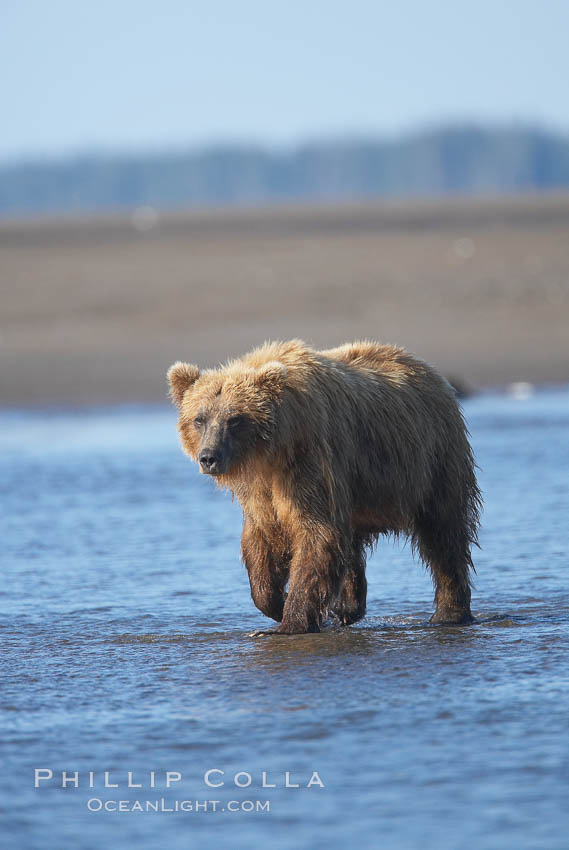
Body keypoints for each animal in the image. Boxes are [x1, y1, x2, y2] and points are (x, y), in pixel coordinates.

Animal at [168, 342, 480, 632]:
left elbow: (316, 535)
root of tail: (430, 370)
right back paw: (348, 607)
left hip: (432, 460)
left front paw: (290, 622)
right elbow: (262, 540)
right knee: (352, 544)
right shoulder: (260, 491)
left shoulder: (309, 464)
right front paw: (276, 603)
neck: (270, 454)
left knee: (443, 535)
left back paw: (448, 613)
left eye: (234, 419)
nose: (209, 457)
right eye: (199, 418)